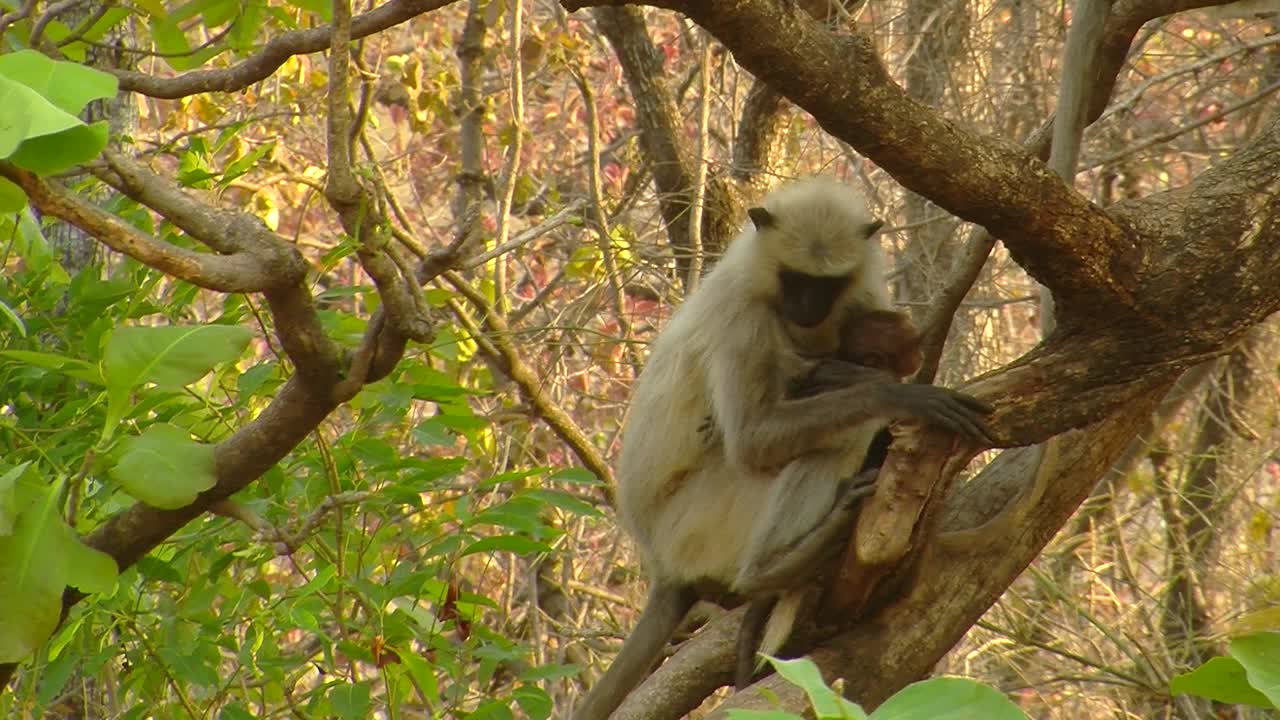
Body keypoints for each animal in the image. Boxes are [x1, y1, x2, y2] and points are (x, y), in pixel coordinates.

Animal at [573, 175, 998, 717]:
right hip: (698, 523)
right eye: (794, 280)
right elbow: (752, 442)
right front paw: (894, 394)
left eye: (825, 286)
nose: (807, 308)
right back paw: (776, 567)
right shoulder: (744, 314)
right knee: (830, 441)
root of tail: (660, 562)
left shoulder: (860, 296)